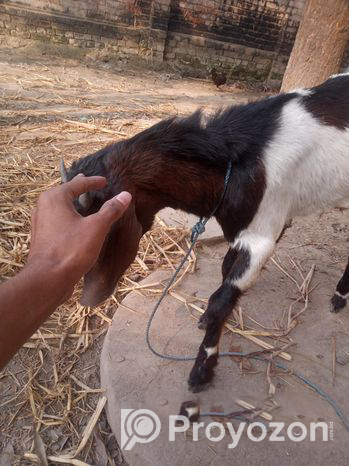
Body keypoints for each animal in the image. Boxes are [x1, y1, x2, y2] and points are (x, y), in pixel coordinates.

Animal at [61, 73, 348, 394]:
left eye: (102, 231)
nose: (90, 300)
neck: (236, 164)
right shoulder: (239, 230)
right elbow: (224, 272)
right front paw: (206, 323)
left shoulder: (262, 236)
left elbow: (221, 300)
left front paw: (202, 369)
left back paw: (339, 297)